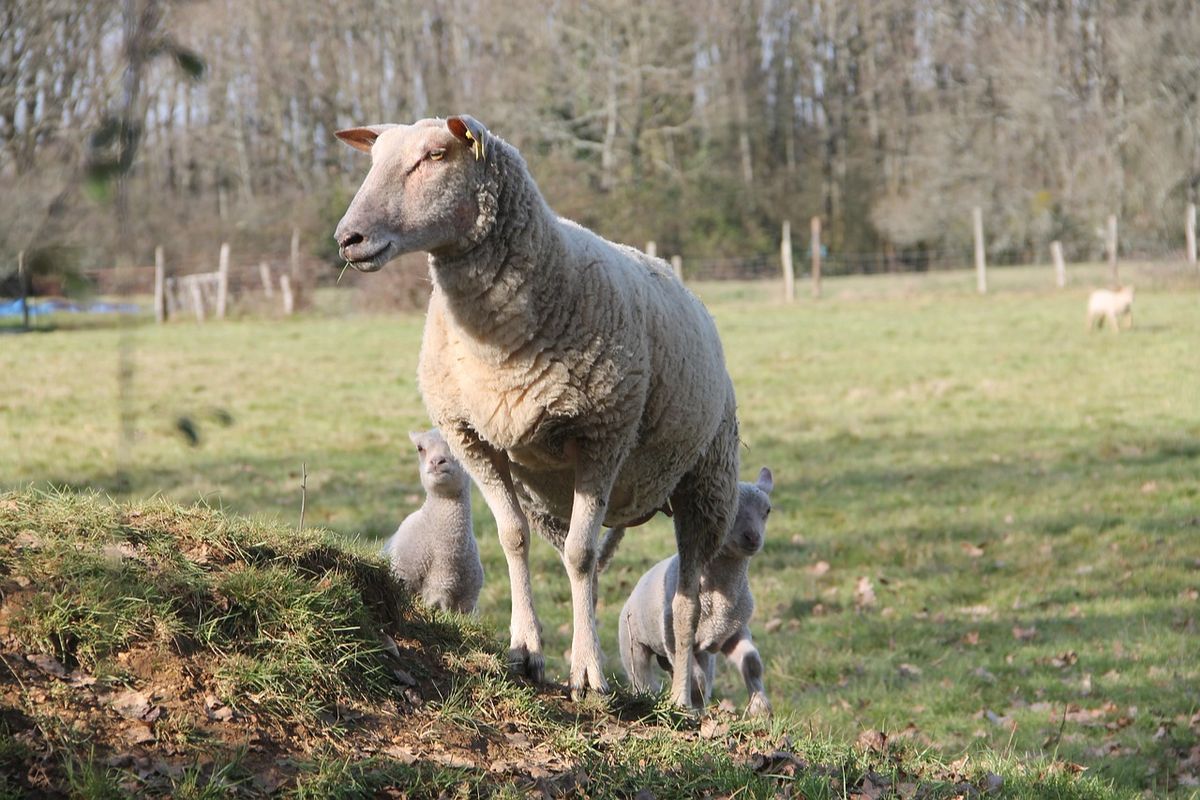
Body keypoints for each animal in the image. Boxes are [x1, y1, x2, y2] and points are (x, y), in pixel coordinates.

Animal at [614, 465, 772, 714]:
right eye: (729, 509)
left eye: (767, 510)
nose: (753, 538)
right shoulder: (674, 635)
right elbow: (696, 678)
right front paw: (691, 707)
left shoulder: (733, 631)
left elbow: (752, 663)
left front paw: (760, 708)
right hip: (633, 643)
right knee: (643, 678)